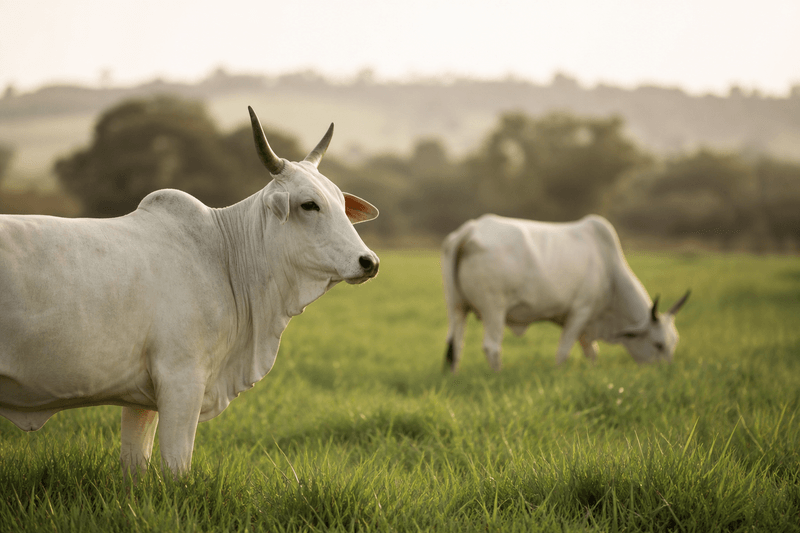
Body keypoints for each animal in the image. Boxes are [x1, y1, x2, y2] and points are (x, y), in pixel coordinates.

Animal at [0, 106, 379, 477]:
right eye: (309, 204)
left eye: (340, 203)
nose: (369, 262)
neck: (224, 254)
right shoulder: (181, 380)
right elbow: (177, 468)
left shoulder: (140, 401)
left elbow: (135, 466)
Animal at [441, 214, 689, 372]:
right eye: (659, 344)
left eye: (675, 342)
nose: (666, 373)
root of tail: (471, 229)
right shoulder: (580, 312)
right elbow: (563, 351)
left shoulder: (585, 325)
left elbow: (592, 352)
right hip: (494, 309)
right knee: (491, 347)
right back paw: (498, 375)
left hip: (456, 307)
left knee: (456, 346)